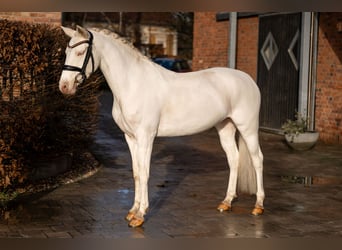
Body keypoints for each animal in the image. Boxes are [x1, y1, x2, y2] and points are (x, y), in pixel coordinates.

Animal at [59, 26, 264, 228]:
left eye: (80, 52)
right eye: (66, 52)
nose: (64, 86)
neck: (133, 83)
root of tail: (248, 79)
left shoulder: (146, 137)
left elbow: (145, 173)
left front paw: (140, 215)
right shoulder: (130, 138)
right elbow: (136, 173)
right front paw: (132, 211)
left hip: (248, 128)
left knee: (257, 160)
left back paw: (258, 206)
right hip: (225, 127)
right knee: (234, 159)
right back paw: (226, 202)